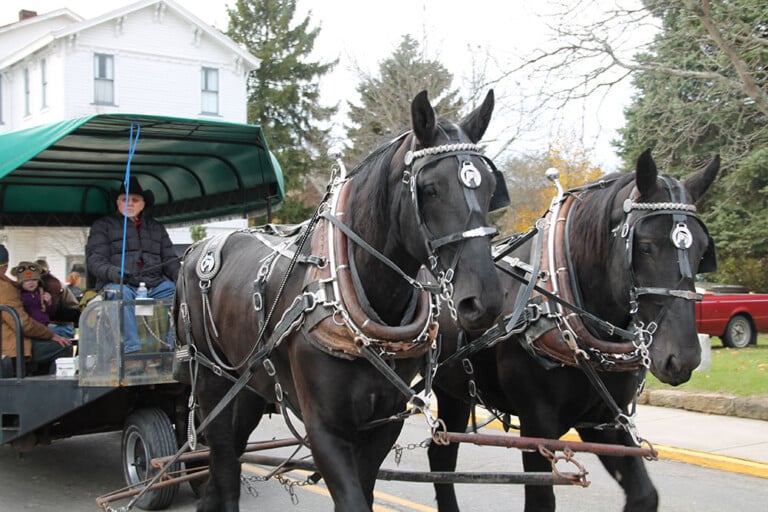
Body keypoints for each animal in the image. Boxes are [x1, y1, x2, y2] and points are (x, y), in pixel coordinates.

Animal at [176, 90, 508, 510]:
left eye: (489, 187)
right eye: (430, 188)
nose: (486, 301)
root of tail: (194, 250)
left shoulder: (384, 421)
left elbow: (363, 491)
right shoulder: (324, 427)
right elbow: (351, 499)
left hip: (251, 383)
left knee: (232, 453)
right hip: (211, 378)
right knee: (221, 456)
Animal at [428, 150, 716, 512]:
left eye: (703, 250)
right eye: (646, 246)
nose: (684, 357)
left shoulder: (605, 422)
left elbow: (645, 495)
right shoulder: (537, 425)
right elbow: (541, 499)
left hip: (452, 392)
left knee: (441, 454)